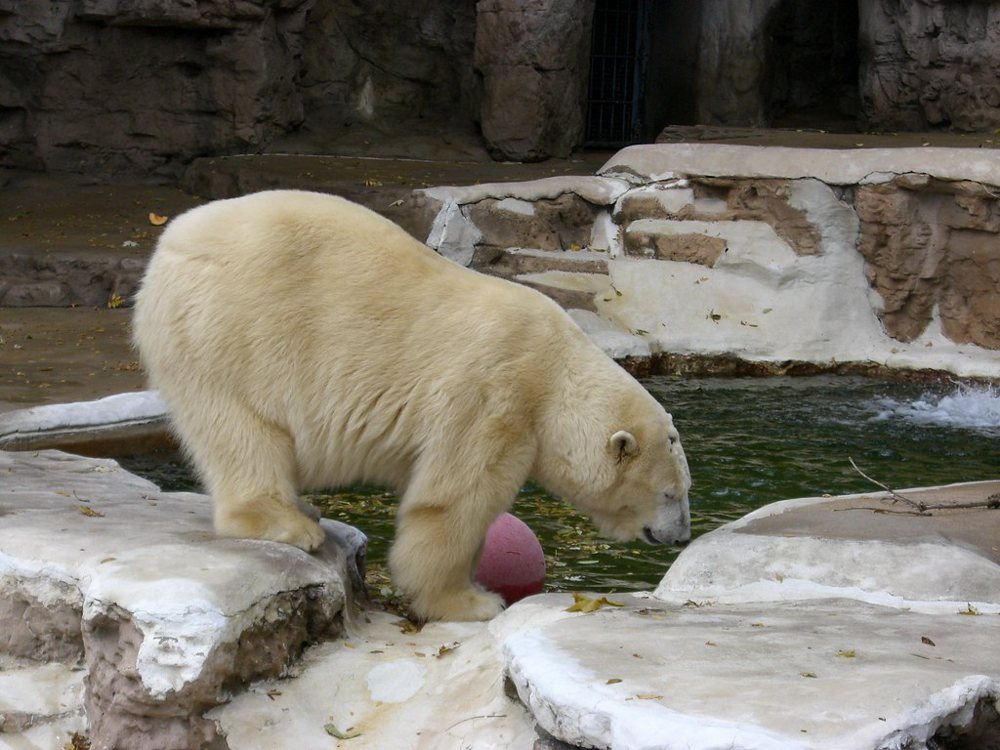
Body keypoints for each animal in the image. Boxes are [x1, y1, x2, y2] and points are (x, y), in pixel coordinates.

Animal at [133, 190, 691, 621]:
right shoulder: (495, 393)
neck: (554, 372)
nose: (682, 536)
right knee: (243, 428)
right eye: (670, 493)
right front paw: (471, 602)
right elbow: (453, 501)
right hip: (230, 330)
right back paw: (288, 523)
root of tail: (168, 246)